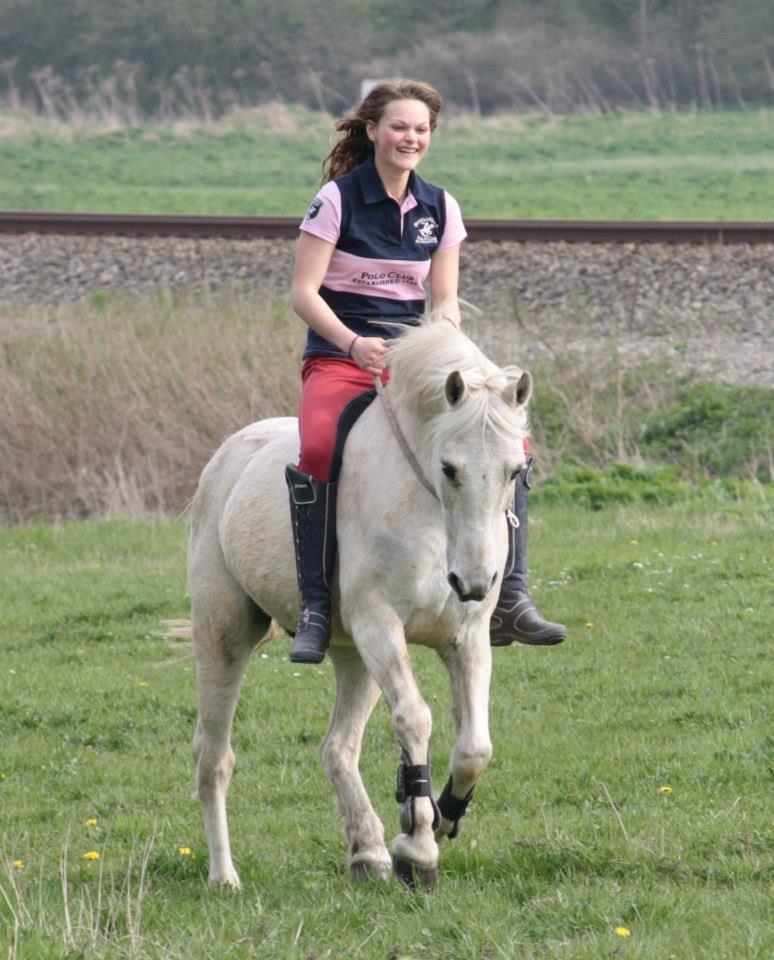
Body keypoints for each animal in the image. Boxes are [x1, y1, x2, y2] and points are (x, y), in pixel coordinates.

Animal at [188, 314, 533, 889]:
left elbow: (475, 748)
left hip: (354, 657)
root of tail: (224, 459)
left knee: (337, 748)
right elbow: (415, 719)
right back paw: (224, 875)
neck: (428, 516)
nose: (475, 581)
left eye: (514, 470)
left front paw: (440, 816)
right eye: (449, 468)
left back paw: (367, 851)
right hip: (225, 637)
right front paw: (418, 848)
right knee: (214, 757)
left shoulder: (465, 638)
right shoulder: (380, 626)